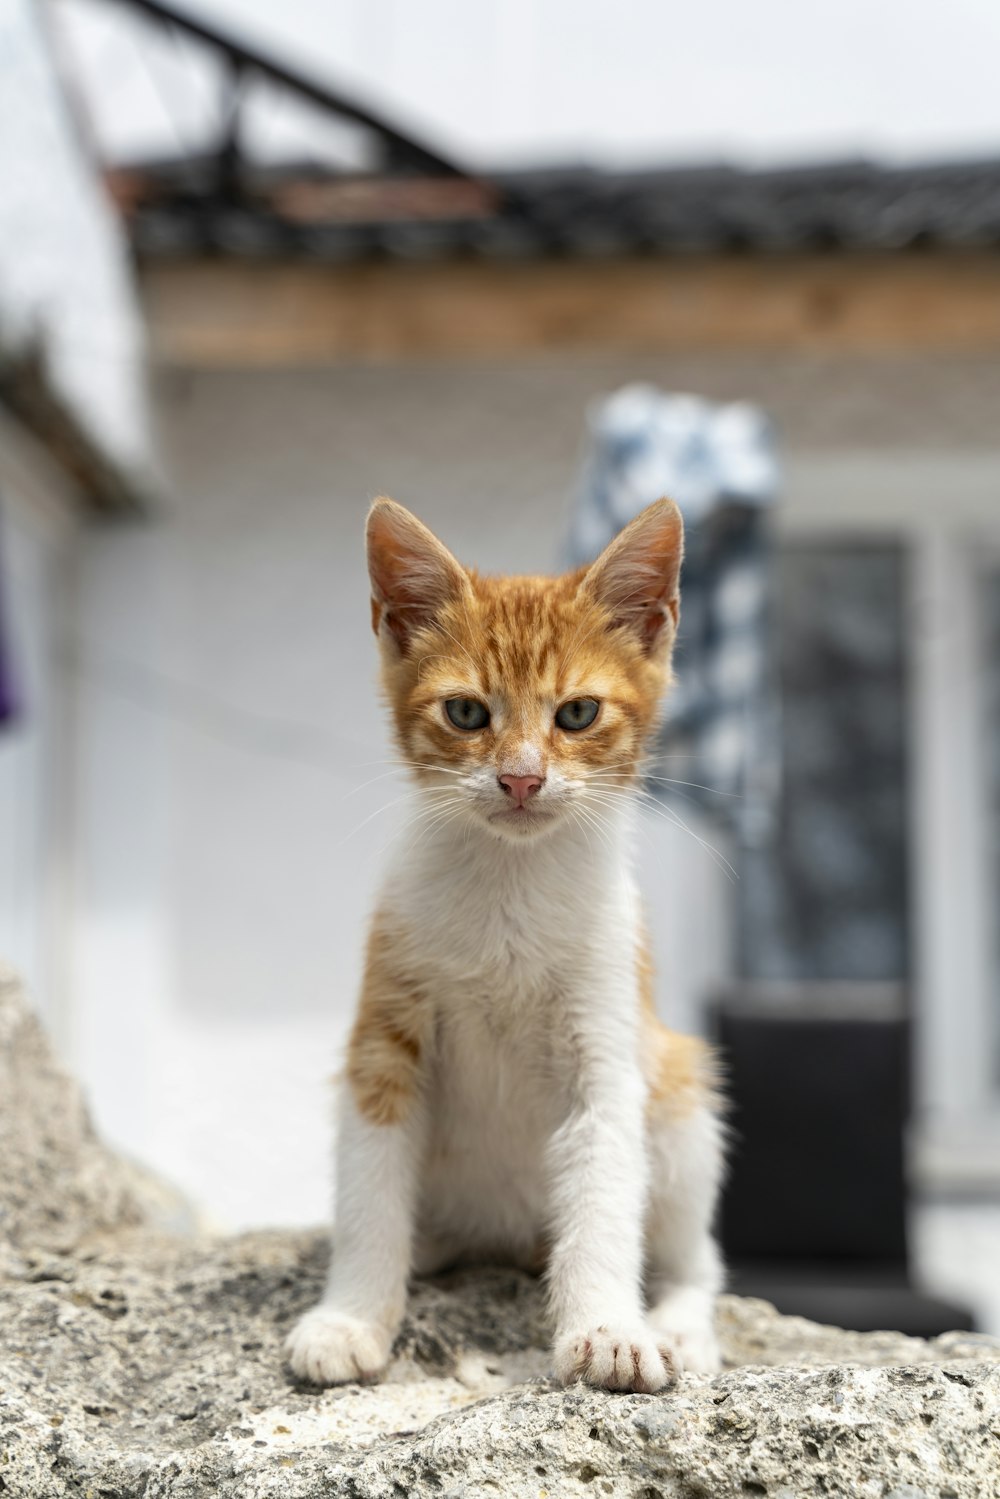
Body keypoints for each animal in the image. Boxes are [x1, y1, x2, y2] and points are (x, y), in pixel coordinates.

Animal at [284, 494, 722, 1391]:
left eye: (577, 713)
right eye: (466, 712)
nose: (521, 778)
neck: (509, 887)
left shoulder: (608, 1042)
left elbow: (604, 1190)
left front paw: (608, 1328)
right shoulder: (382, 1037)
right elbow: (368, 1187)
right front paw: (351, 1316)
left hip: (681, 1094)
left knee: (701, 1257)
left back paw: (680, 1322)